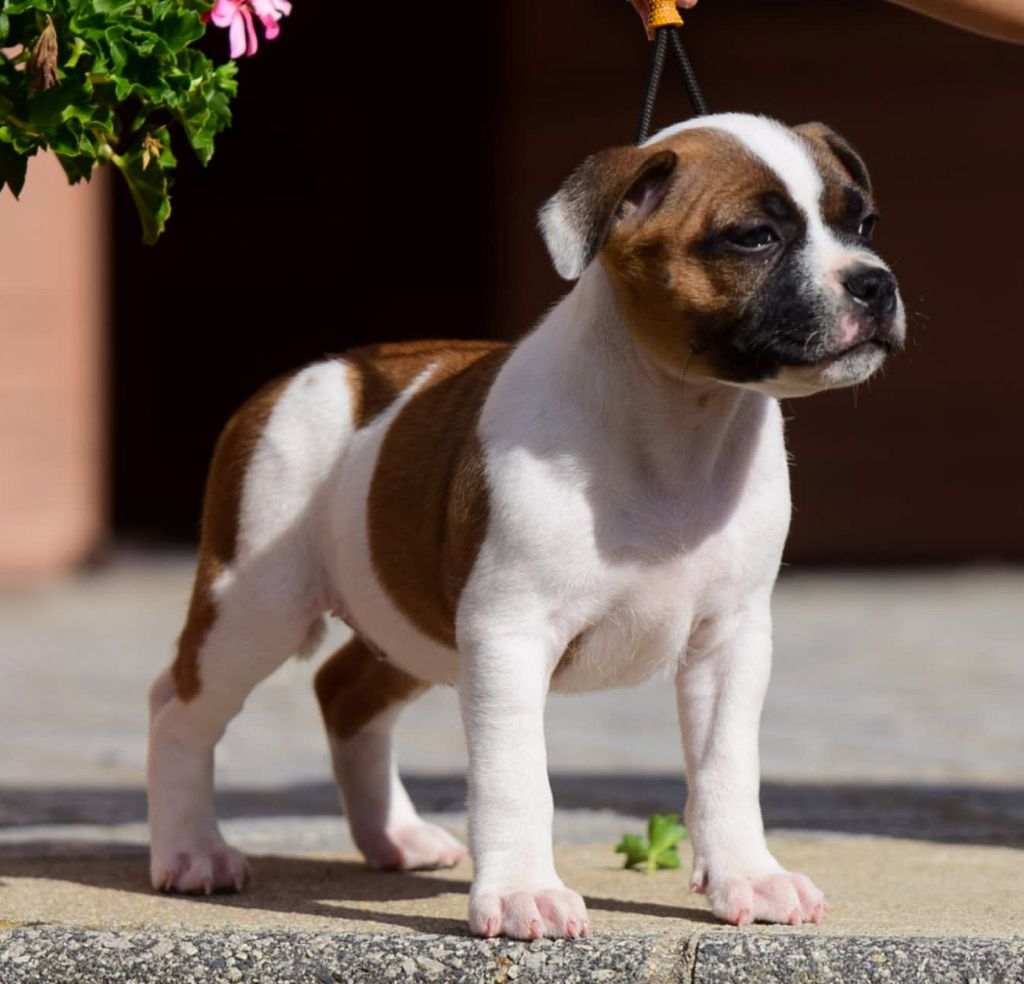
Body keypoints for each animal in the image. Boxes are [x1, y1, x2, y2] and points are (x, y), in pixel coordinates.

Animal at [147, 112, 904, 938]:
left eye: (862, 222)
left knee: (343, 692)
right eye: (754, 238)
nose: (875, 280)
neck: (680, 420)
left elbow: (726, 767)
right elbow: (516, 778)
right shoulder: (508, 634)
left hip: (409, 622)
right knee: (179, 707)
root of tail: (310, 375)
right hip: (255, 606)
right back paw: (192, 851)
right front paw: (521, 893)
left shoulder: (730, 639)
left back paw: (394, 836)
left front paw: (751, 877)